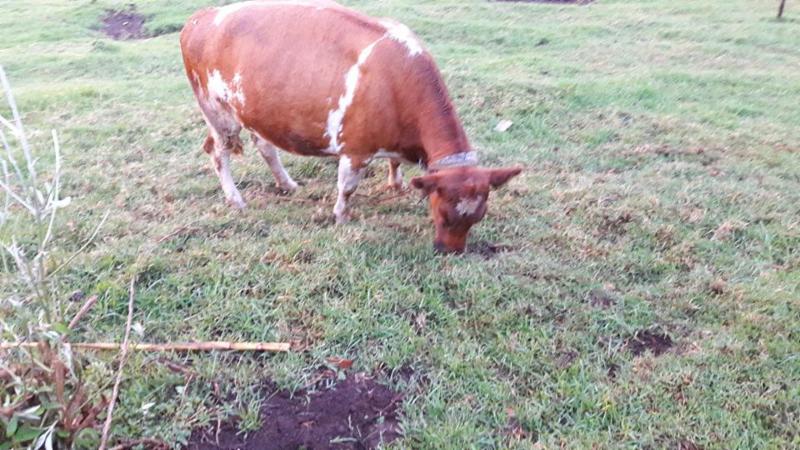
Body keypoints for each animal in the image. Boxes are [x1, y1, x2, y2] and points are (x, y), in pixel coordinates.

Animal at [180, 0, 521, 253]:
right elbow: (347, 187)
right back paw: (236, 199)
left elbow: (394, 163)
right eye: (442, 215)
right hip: (217, 111)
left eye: (478, 217)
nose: (451, 252)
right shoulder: (356, 149)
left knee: (264, 145)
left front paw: (395, 183)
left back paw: (287, 184)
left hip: (254, 110)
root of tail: (202, 16)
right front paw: (341, 217)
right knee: (217, 152)